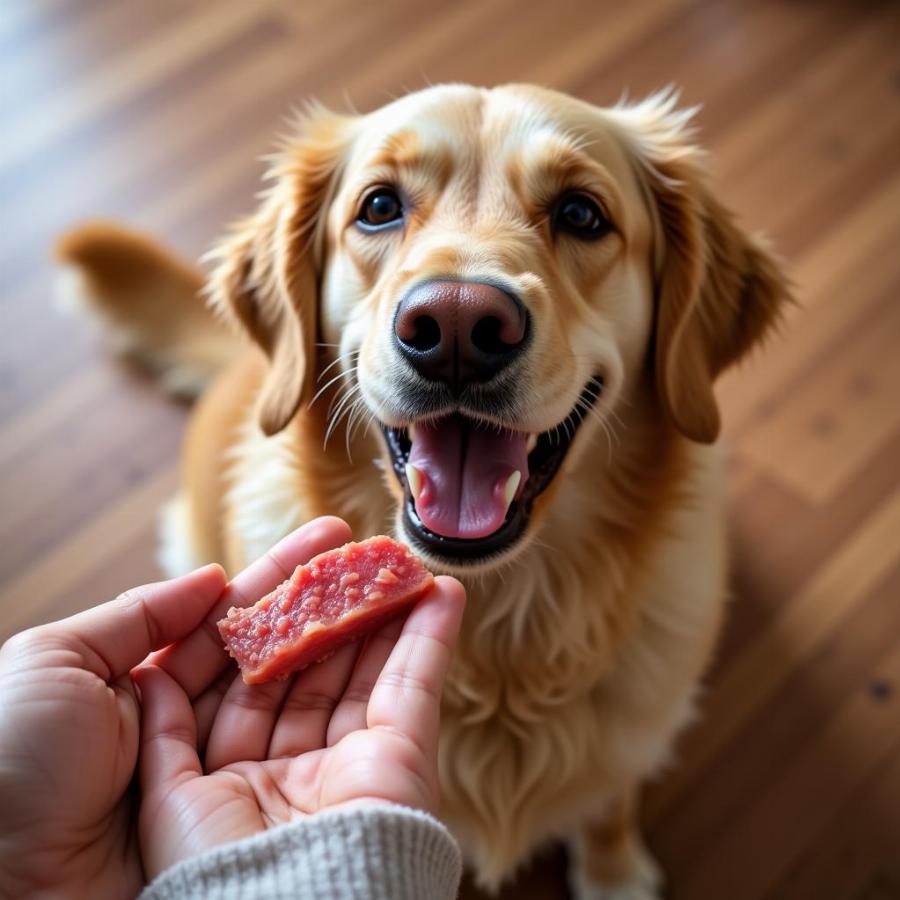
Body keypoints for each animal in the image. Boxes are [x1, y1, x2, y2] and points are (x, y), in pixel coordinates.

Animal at [54, 82, 788, 892]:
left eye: (581, 213)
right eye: (378, 206)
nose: (459, 326)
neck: (503, 651)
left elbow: (608, 800)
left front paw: (615, 872)